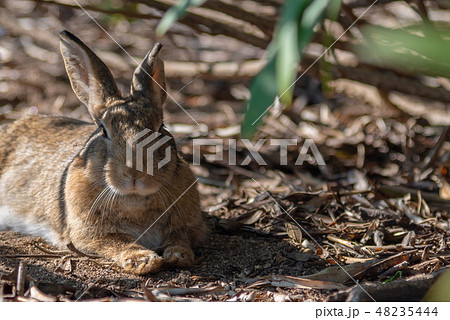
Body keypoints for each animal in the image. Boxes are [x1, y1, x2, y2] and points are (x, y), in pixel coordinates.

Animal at [0, 30, 207, 276]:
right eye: (104, 131)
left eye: (160, 127)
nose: (134, 172)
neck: (135, 199)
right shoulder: (92, 234)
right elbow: (119, 241)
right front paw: (142, 260)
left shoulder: (188, 227)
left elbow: (181, 238)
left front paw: (178, 255)